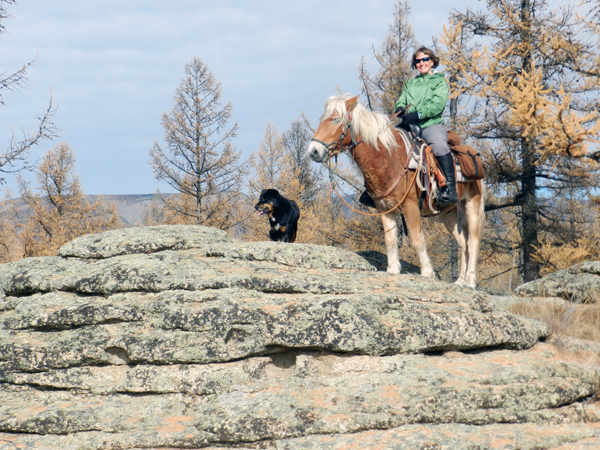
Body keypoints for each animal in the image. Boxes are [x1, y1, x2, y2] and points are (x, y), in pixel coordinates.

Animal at [308, 94, 486, 288]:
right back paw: (460, 281)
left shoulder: (410, 206)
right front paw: (393, 269)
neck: (389, 158)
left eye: (335, 119)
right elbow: (390, 239)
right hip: (449, 214)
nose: (313, 151)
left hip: (471, 206)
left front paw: (427, 272)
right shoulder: (384, 208)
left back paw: (470, 281)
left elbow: (417, 239)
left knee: (473, 242)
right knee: (463, 244)